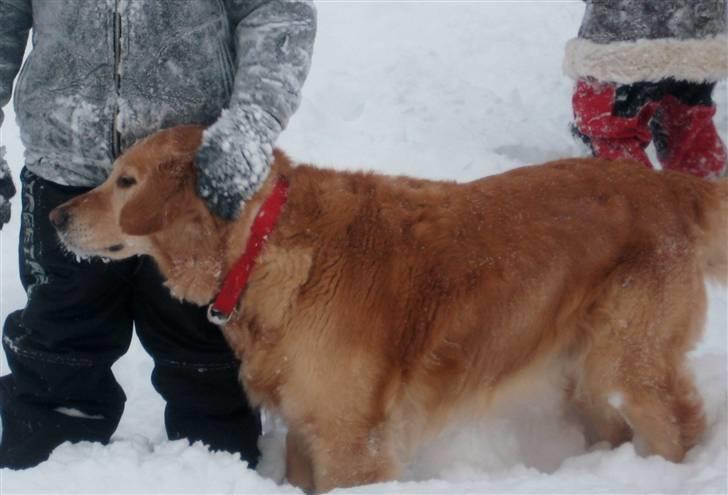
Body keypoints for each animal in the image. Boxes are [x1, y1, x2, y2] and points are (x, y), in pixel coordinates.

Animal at [52, 125, 728, 492]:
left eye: (126, 182)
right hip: (583, 370)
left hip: (626, 361)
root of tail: (670, 185)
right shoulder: (306, 426)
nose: (55, 216)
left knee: (677, 426)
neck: (263, 247)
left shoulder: (353, 439)